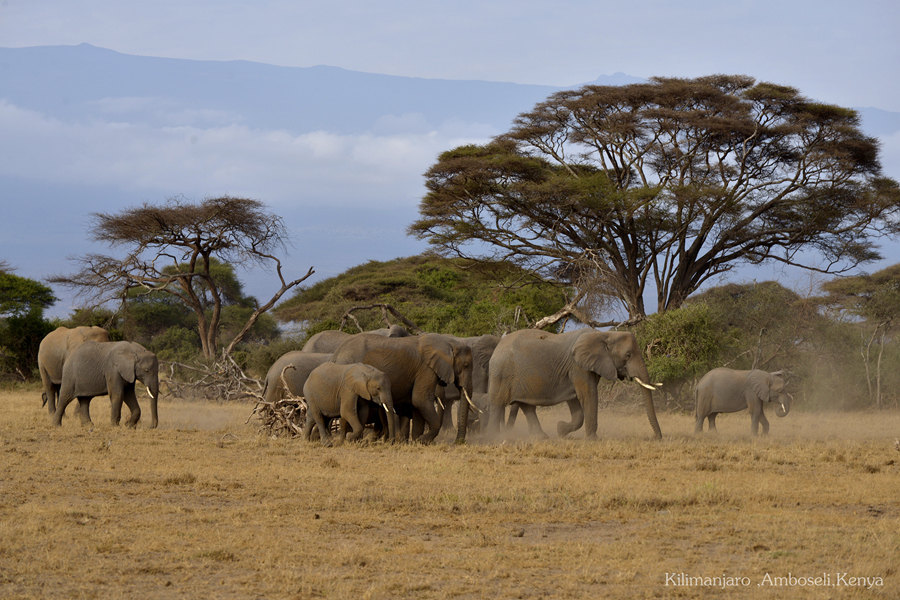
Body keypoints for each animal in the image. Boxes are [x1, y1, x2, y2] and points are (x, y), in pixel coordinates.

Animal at [328, 330, 472, 442]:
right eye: (466, 365)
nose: (458, 442)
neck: (449, 342)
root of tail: (336, 354)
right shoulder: (426, 369)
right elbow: (420, 399)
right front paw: (422, 440)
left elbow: (416, 404)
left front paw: (416, 441)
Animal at [486, 328, 660, 440]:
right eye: (628, 355)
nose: (657, 437)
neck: (604, 334)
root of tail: (498, 345)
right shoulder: (578, 367)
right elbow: (588, 395)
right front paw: (593, 440)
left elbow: (576, 402)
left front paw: (561, 430)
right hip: (501, 373)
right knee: (497, 403)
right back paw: (494, 437)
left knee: (526, 406)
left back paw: (542, 437)